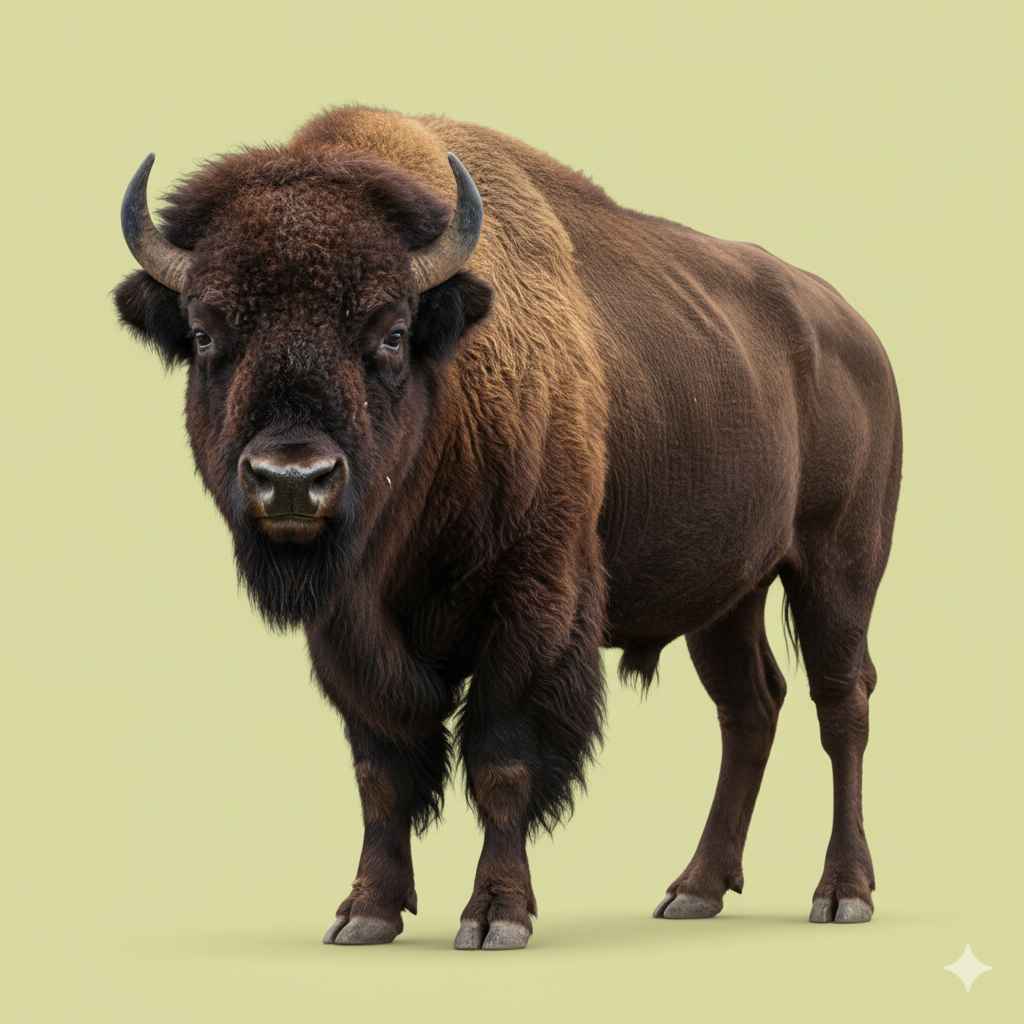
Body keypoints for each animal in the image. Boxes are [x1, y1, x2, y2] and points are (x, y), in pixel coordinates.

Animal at [113, 106, 901, 950]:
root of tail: (857, 335)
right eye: (204, 333)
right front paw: (366, 912)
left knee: (841, 704)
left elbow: (501, 762)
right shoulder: (349, 631)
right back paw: (696, 889)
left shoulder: (533, 607)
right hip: (728, 598)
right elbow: (380, 771)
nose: (292, 480)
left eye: (391, 332)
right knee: (750, 707)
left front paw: (496, 916)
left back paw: (842, 893)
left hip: (838, 569)